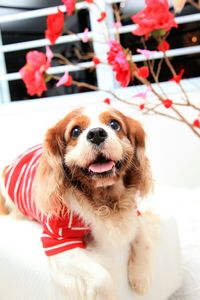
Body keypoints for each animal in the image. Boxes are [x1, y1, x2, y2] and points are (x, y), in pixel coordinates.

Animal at [0, 105, 156, 300]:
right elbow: (102, 277)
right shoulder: (57, 241)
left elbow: (145, 240)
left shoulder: (135, 214)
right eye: (75, 131)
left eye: (115, 124)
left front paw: (141, 278)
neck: (105, 199)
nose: (96, 134)